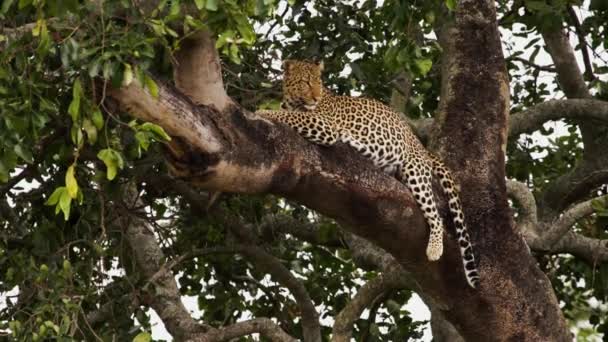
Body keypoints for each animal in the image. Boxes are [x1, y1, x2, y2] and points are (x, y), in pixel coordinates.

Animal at [256, 59, 480, 288]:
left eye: (319, 82)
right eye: (305, 82)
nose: (316, 97)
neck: (292, 101)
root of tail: (420, 145)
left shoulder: (326, 126)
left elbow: (292, 116)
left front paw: (262, 111)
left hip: (415, 171)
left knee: (435, 214)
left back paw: (434, 249)